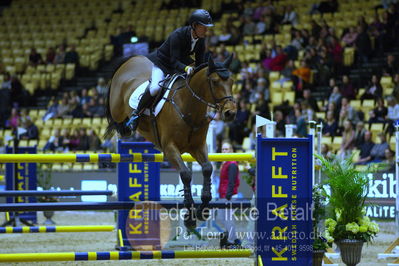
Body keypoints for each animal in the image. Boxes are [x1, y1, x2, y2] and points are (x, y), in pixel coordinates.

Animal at [104, 54, 239, 229]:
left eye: (232, 81)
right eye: (215, 81)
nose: (231, 113)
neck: (189, 106)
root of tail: (131, 59)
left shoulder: (198, 147)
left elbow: (207, 168)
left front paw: (202, 210)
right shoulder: (169, 149)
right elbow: (186, 174)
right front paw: (189, 216)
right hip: (117, 109)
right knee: (117, 119)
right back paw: (129, 124)